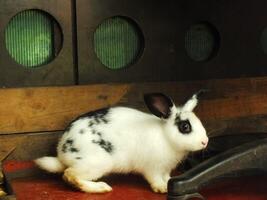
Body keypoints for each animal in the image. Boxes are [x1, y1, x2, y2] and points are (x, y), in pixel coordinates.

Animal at [34, 92, 209, 194]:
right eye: (185, 127)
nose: (205, 141)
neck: (166, 137)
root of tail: (61, 152)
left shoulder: (166, 170)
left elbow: (167, 178)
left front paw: (169, 184)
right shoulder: (152, 168)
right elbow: (155, 179)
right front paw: (162, 189)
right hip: (97, 163)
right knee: (69, 175)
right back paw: (101, 188)